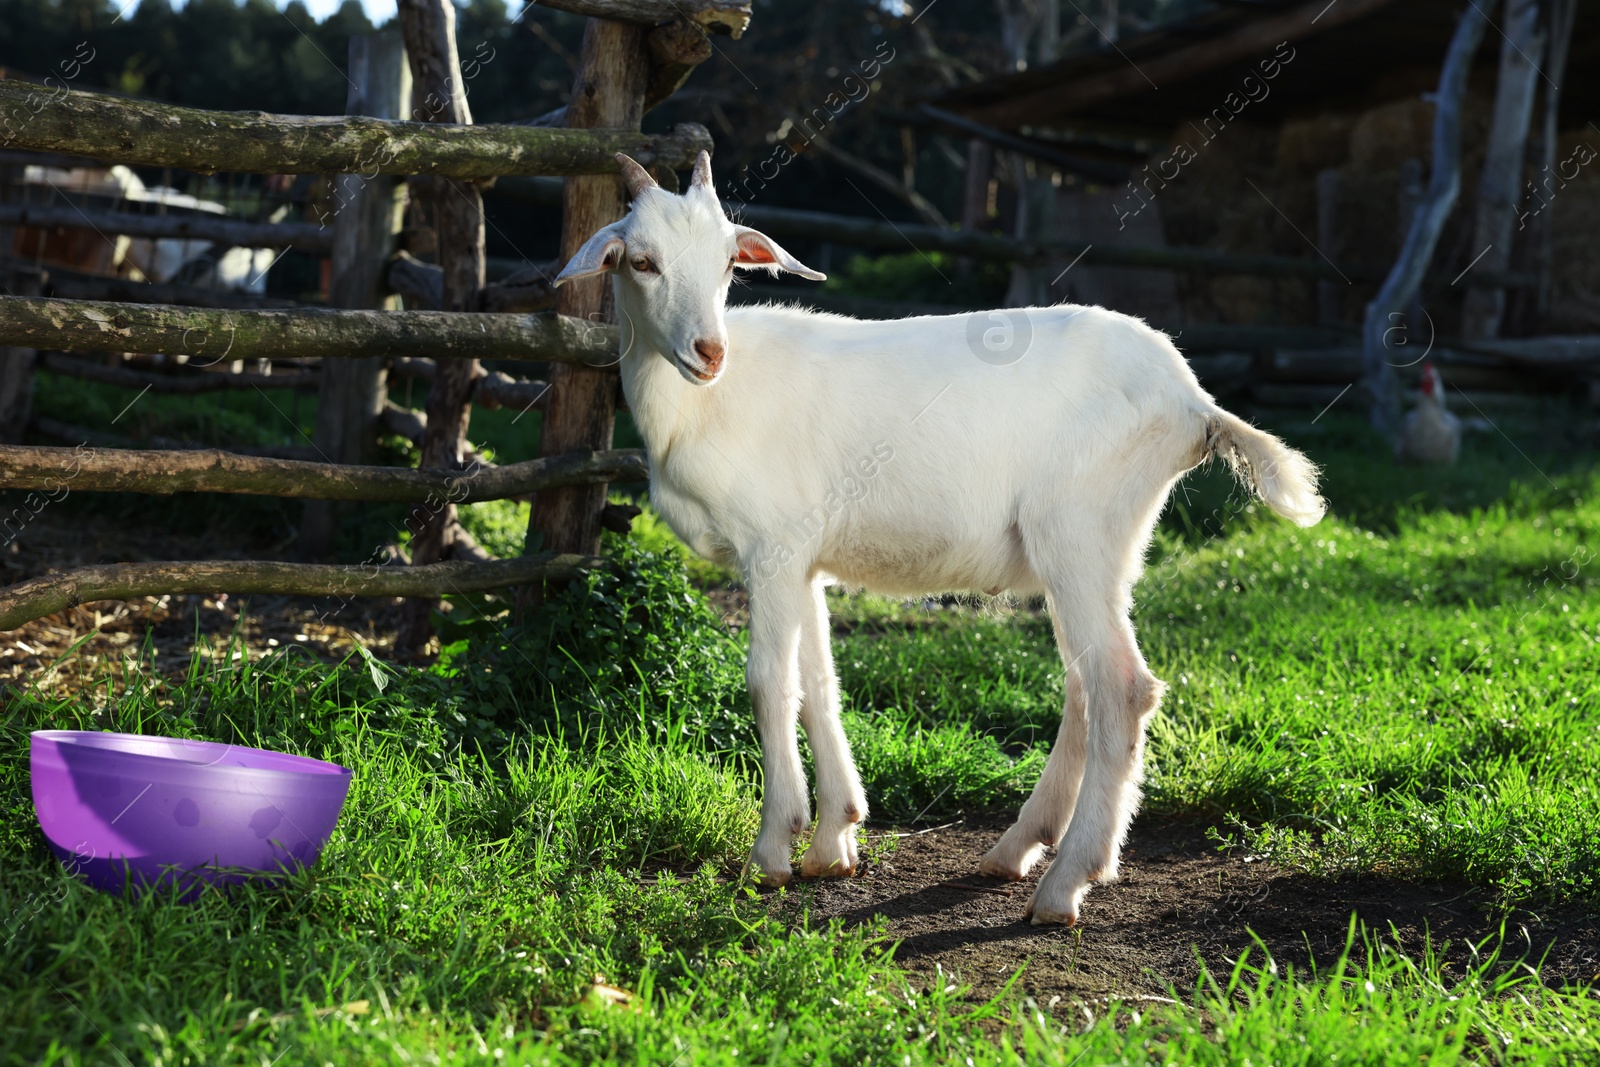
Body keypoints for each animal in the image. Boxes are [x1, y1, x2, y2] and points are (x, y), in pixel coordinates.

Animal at [553, 151, 1324, 927]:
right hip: (1101, 548)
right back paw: (1018, 847)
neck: (702, 405)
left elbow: (769, 683)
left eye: (725, 264)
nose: (707, 351)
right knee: (1085, 684)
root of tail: (1194, 401)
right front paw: (834, 839)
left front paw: (771, 851)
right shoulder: (803, 559)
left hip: (1079, 530)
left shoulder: (770, 549)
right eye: (642, 261)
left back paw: (1066, 882)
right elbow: (819, 680)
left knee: (1122, 688)